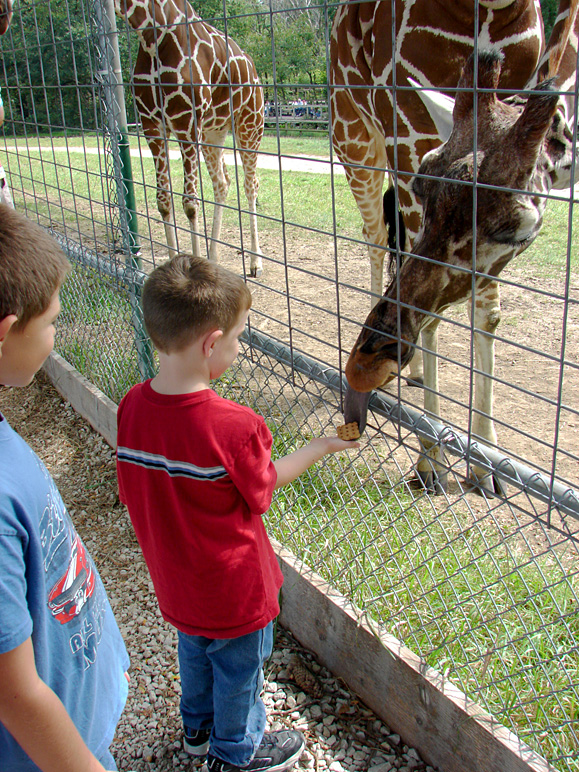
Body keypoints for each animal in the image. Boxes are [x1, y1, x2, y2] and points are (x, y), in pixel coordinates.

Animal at [112, 0, 266, 276]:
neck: (150, 34)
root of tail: (253, 67)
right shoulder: (152, 124)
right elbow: (164, 200)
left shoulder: (186, 121)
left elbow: (190, 203)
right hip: (213, 131)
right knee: (222, 183)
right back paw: (213, 257)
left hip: (249, 123)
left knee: (251, 185)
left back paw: (255, 262)